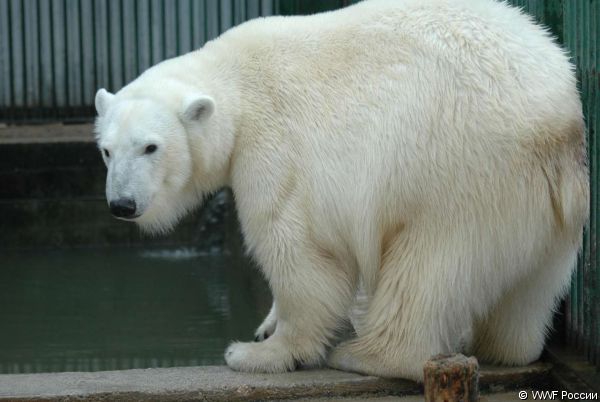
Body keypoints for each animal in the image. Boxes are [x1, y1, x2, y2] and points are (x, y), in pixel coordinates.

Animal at [96, 0, 588, 380]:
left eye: (150, 147)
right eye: (106, 150)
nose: (122, 204)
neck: (236, 82)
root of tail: (560, 123)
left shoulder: (276, 151)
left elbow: (300, 254)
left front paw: (258, 352)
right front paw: (265, 327)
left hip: (459, 170)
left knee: (430, 264)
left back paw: (366, 355)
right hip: (545, 208)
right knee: (528, 289)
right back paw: (502, 346)